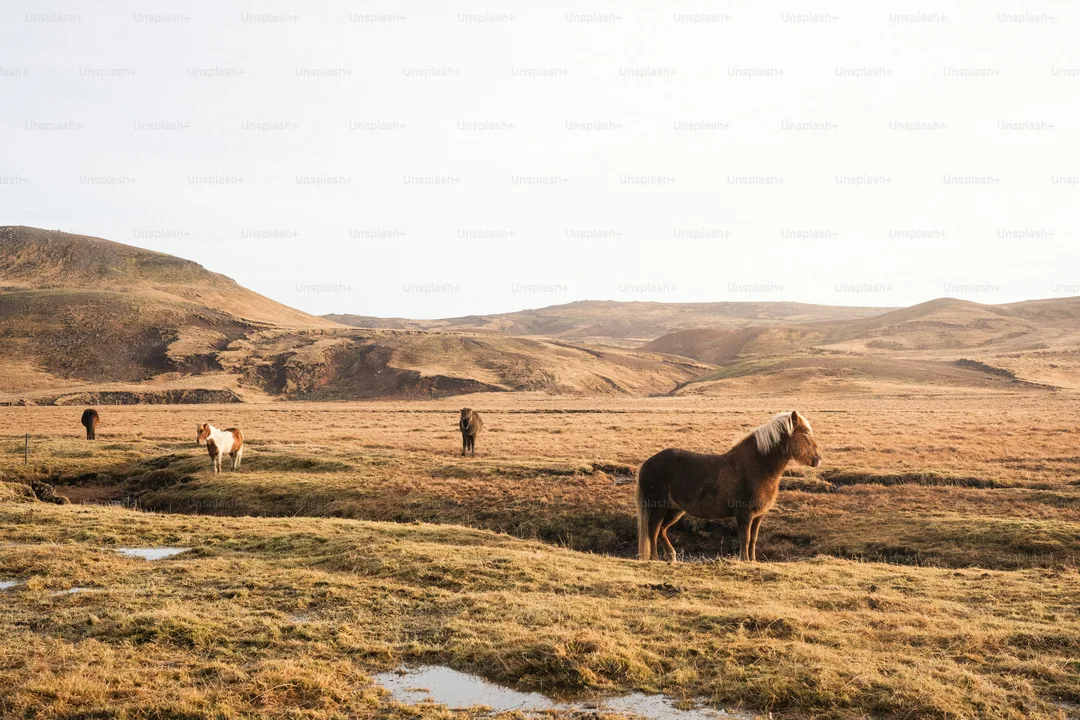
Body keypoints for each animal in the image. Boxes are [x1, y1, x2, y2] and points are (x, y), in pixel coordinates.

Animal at [636, 410, 821, 563]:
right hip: (659, 508)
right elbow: (745, 538)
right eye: (805, 433)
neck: (758, 468)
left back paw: (671, 556)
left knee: (662, 530)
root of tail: (646, 464)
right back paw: (654, 558)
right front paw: (744, 560)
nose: (818, 459)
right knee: (653, 530)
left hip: (675, 510)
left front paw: (752, 560)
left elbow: (753, 539)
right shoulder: (745, 514)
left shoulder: (758, 516)